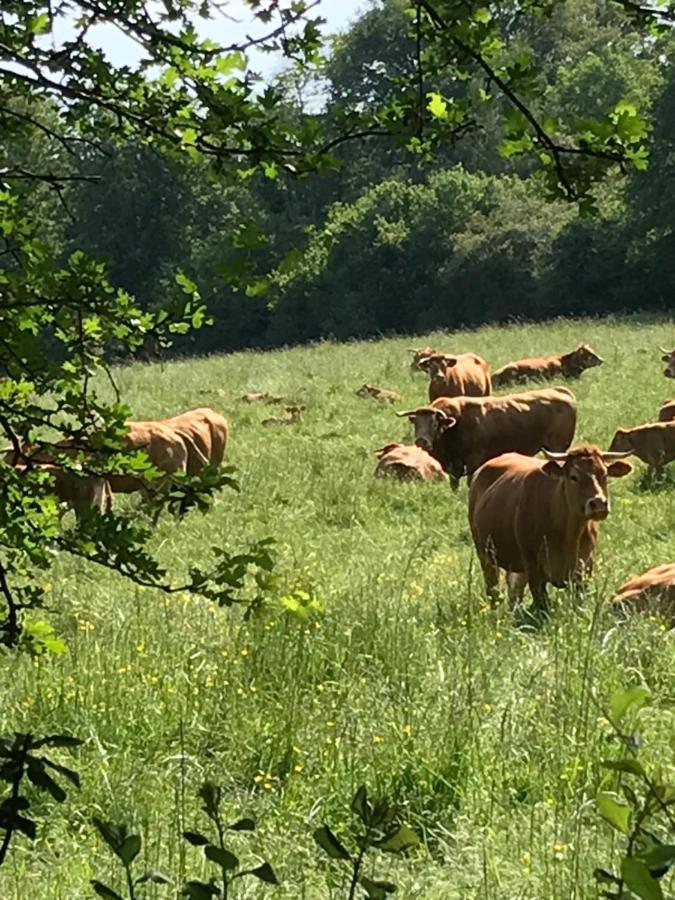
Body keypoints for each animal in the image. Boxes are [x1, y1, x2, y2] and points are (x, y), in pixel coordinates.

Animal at [398, 384, 580, 488]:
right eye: (416, 423)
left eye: (434, 423)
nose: (421, 441)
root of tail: (561, 392)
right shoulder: (454, 465)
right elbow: (454, 483)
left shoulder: (474, 459)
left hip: (558, 446)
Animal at [470, 444, 632, 616]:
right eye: (573, 477)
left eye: (605, 474)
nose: (599, 503)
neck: (568, 534)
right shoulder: (534, 569)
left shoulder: (585, 568)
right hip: (484, 554)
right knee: (493, 589)